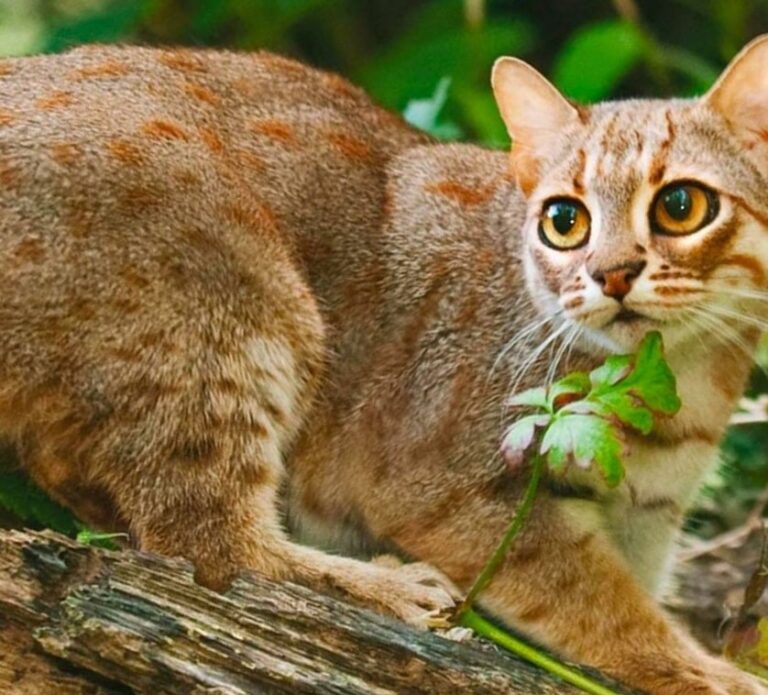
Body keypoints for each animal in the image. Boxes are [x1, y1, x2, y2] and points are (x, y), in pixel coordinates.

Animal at [1, 31, 768, 695]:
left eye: (680, 205)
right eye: (564, 221)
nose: (610, 276)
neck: (683, 383)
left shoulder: (649, 521)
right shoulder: (439, 484)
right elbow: (601, 602)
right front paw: (712, 674)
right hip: (239, 299)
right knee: (209, 546)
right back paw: (386, 586)